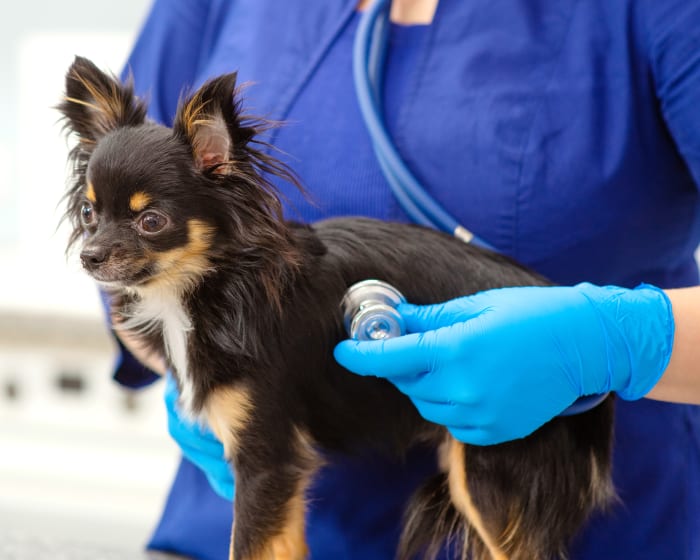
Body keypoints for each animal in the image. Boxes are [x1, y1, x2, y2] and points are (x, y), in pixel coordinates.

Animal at [63, 57, 616, 560]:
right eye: (89, 213)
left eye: (151, 221)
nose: (89, 256)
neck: (210, 288)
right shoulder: (278, 477)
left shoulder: (267, 459)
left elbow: (248, 545)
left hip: (491, 468)